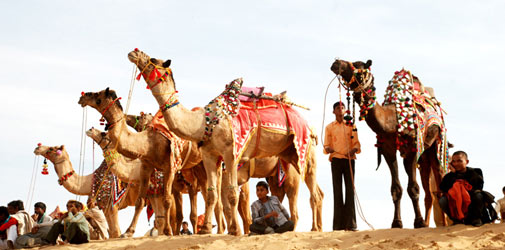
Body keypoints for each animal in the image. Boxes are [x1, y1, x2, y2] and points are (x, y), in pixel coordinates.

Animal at [34, 144, 167, 237]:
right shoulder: (104, 207)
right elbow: (111, 231)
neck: (90, 181)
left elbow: (115, 231)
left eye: (52, 148)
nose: (37, 147)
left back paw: (129, 232)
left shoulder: (111, 204)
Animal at [77, 91, 226, 235]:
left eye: (98, 97)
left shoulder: (178, 176)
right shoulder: (156, 175)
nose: (82, 97)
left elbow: (177, 208)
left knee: (216, 199)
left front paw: (169, 232)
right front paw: (130, 232)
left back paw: (215, 230)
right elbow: (149, 205)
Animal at [127, 49, 322, 234]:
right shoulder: (209, 156)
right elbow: (212, 195)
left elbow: (232, 193)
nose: (133, 52)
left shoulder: (231, 152)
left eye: (153, 60)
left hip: (304, 149)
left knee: (308, 191)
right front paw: (207, 229)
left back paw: (313, 228)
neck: (204, 122)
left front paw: (234, 230)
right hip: (287, 155)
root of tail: (310, 127)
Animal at [330, 59, 448, 228]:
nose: (336, 63)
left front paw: (418, 221)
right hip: (424, 154)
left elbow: (413, 187)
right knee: (428, 188)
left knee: (438, 179)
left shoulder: (412, 149)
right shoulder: (388, 149)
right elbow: (396, 189)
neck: (392, 120)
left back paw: (443, 223)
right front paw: (397, 222)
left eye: (358, 65)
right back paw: (428, 222)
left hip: (436, 144)